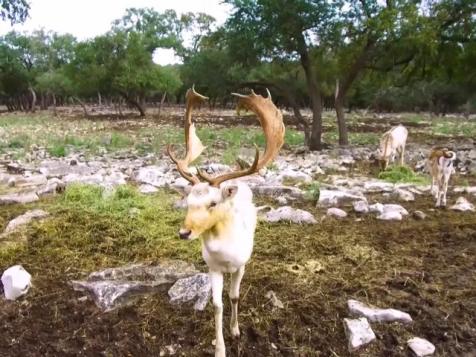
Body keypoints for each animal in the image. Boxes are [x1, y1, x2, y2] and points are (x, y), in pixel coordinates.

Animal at [167, 86, 284, 356]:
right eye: (188, 200)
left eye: (213, 203)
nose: (184, 232)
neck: (226, 254)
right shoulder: (213, 267)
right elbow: (217, 304)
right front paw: (220, 348)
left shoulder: (240, 265)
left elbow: (235, 297)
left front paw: (236, 331)